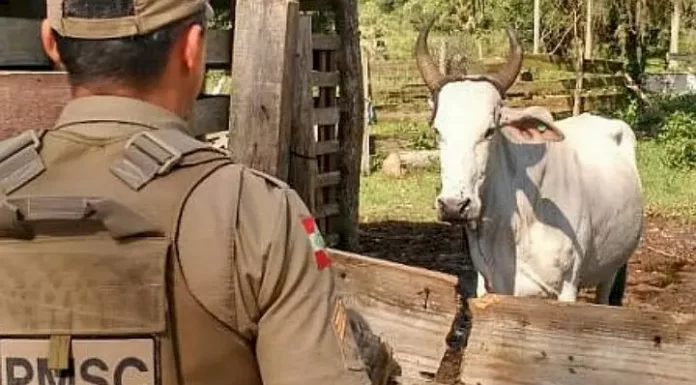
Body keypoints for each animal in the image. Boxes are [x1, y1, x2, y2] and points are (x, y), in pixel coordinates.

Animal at [416, 20, 644, 304]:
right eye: (438, 131)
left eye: (490, 130)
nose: (453, 206)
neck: (516, 224)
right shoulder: (489, 285)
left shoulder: (568, 286)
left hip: (611, 270)